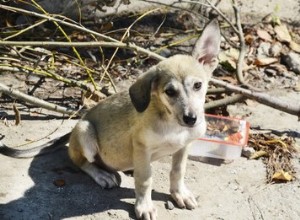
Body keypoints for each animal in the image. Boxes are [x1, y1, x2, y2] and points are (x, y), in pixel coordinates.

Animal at [0, 19, 220, 220]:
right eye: (170, 92)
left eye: (198, 85)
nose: (191, 119)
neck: (172, 123)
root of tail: (72, 133)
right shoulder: (142, 148)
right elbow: (145, 180)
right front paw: (144, 206)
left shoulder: (183, 147)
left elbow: (177, 172)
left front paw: (179, 194)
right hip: (85, 131)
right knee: (81, 162)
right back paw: (103, 175)